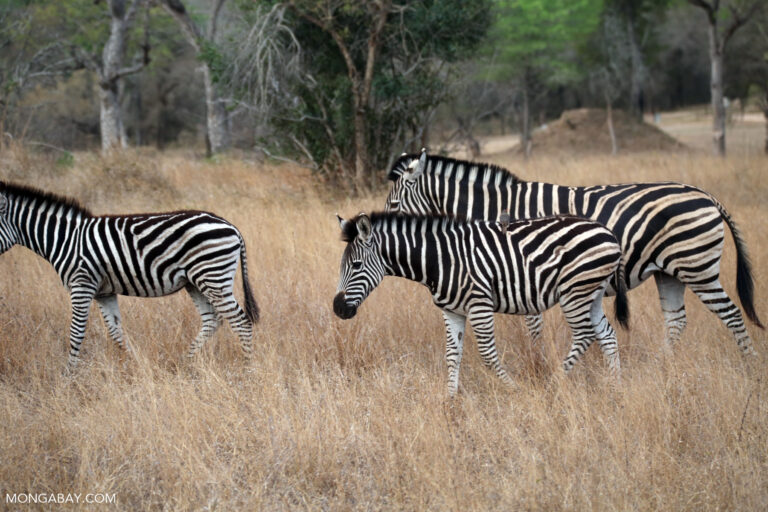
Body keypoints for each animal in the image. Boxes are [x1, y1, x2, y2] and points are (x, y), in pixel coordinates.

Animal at [0, 182, 260, 366]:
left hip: (213, 277)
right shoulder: (104, 293)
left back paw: (247, 370)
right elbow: (116, 333)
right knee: (213, 320)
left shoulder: (82, 284)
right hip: (195, 282)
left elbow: (76, 332)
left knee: (241, 322)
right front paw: (131, 367)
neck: (65, 240)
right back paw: (185, 364)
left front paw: (67, 378)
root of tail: (231, 226)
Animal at [332, 212, 628, 396]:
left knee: (585, 334)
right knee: (607, 334)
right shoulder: (451, 310)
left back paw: (554, 382)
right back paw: (615, 387)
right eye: (342, 265)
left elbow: (487, 354)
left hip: (574, 291)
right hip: (591, 292)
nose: (338, 309)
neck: (439, 260)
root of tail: (608, 231)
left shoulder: (479, 304)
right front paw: (450, 400)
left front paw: (514, 389)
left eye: (355, 265)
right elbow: (452, 354)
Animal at [384, 150, 760, 354]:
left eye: (393, 205)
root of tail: (707, 196)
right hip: (669, 272)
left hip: (698, 268)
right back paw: (664, 365)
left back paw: (748, 363)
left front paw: (537, 363)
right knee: (677, 320)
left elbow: (533, 327)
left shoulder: (521, 271)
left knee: (731, 315)